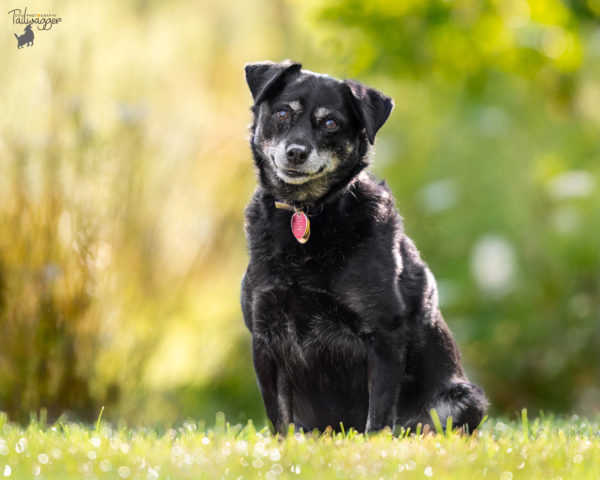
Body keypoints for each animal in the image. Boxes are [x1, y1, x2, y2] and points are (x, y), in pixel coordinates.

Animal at [240, 61, 488, 436]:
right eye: (282, 113)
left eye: (331, 123)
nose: (296, 152)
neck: (308, 212)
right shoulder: (265, 338)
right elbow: (279, 421)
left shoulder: (383, 336)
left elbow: (378, 420)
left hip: (463, 399)